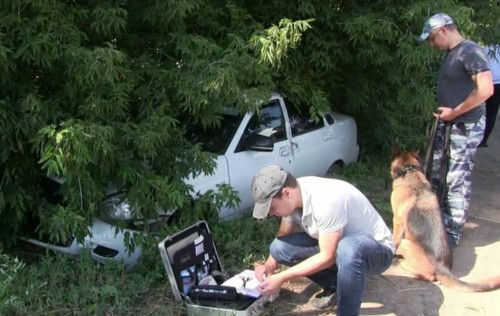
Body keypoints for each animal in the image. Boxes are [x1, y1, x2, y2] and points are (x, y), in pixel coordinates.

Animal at [390, 148, 500, 292]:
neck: (410, 171)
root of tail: (443, 267)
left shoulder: (397, 221)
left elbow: (394, 238)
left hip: (406, 243)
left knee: (429, 277)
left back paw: (404, 264)